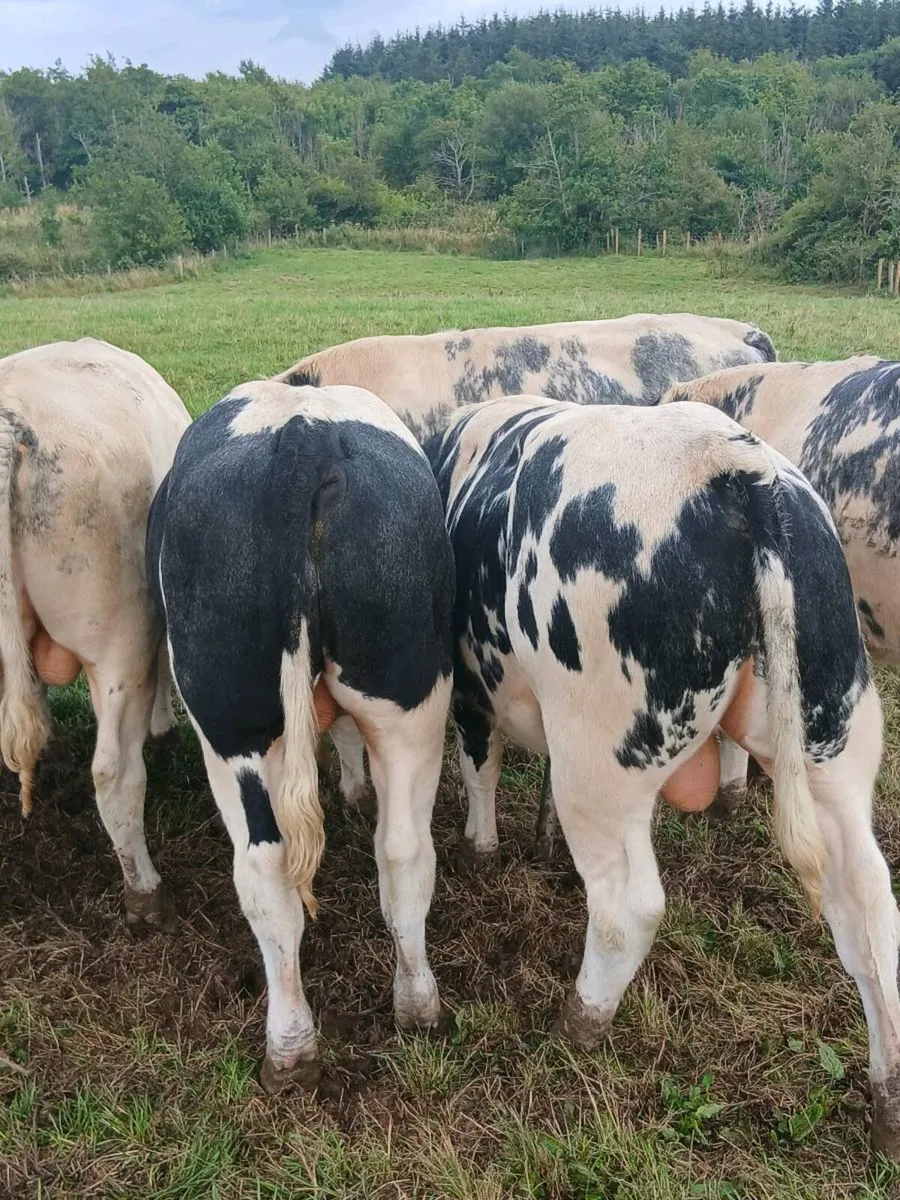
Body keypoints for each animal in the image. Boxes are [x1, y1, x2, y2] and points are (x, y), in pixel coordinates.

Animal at [146, 379, 455, 1090]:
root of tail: (303, 436)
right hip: (406, 703)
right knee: (399, 852)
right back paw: (405, 1011)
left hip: (229, 724)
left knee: (266, 871)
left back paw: (292, 1043)